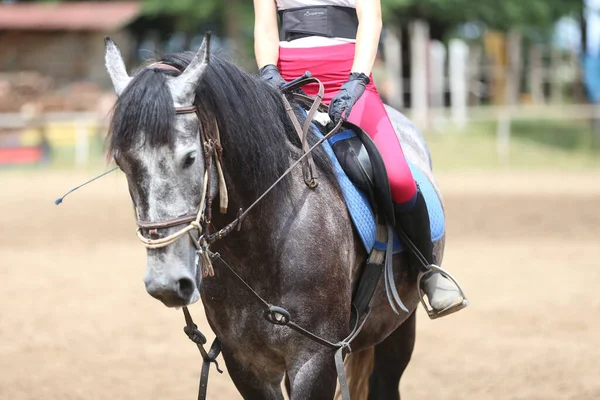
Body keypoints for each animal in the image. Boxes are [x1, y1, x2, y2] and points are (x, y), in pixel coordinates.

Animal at [104, 36, 450, 398]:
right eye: (123, 162)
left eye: (189, 158)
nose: (166, 282)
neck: (262, 244)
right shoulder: (245, 360)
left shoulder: (316, 357)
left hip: (399, 326)